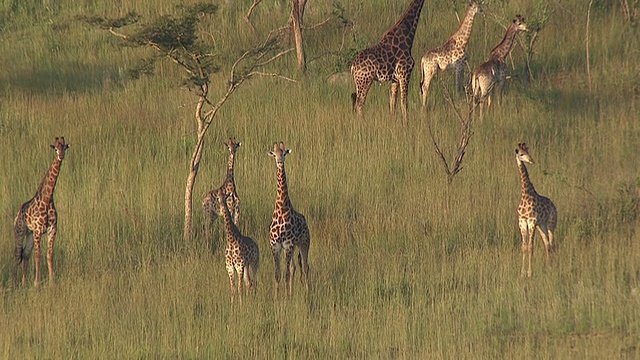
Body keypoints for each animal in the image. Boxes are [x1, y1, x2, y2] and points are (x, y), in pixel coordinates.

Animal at [13, 136, 70, 286]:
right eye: (55, 149)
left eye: (64, 148)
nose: (61, 156)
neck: (47, 200)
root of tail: (16, 215)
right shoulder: (38, 230)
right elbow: (38, 256)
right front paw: (37, 283)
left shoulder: (52, 229)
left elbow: (49, 255)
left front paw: (52, 281)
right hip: (20, 232)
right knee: (17, 254)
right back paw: (15, 281)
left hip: (30, 234)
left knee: (25, 253)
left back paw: (24, 282)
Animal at [268, 141, 310, 296]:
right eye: (274, 154)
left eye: (284, 153)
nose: (280, 161)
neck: (281, 210)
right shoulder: (275, 246)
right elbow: (277, 274)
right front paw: (277, 296)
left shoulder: (288, 245)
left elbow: (285, 274)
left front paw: (285, 297)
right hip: (293, 248)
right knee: (294, 268)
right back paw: (291, 293)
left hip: (304, 243)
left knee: (305, 267)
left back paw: (308, 292)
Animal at [516, 142, 556, 278]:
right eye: (521, 154)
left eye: (528, 152)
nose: (532, 161)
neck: (525, 194)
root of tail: (554, 206)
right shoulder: (522, 221)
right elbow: (524, 246)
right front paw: (522, 273)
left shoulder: (532, 221)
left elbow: (531, 246)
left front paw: (529, 272)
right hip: (541, 226)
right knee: (547, 244)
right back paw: (548, 268)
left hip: (551, 224)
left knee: (552, 244)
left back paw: (551, 268)